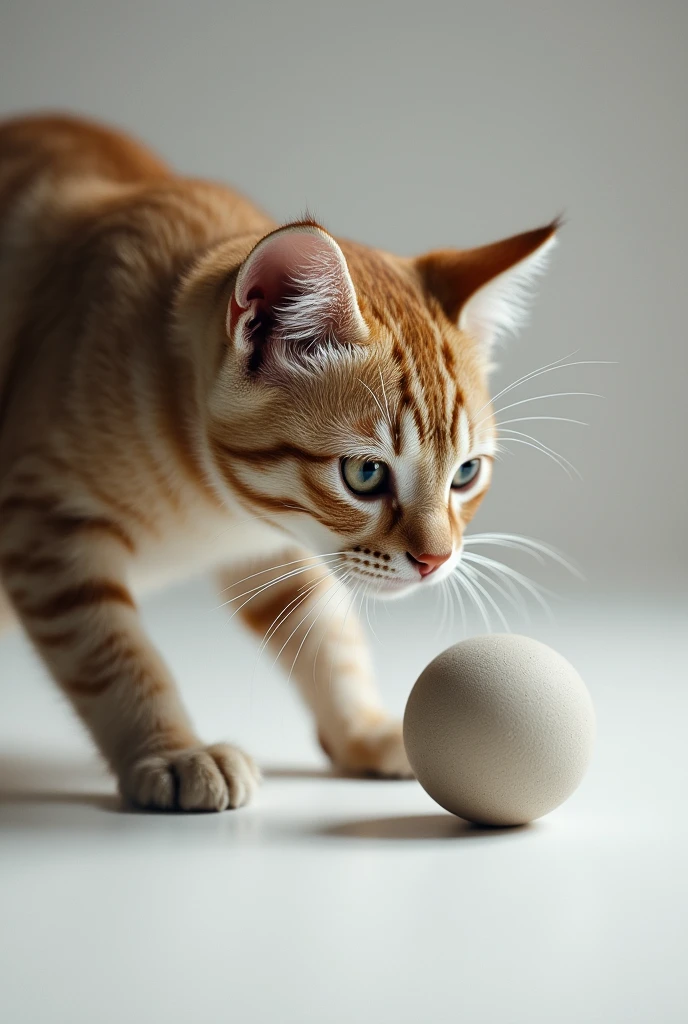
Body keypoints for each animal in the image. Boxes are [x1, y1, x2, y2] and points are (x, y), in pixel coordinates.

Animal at [0, 116, 556, 811]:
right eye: (365, 474)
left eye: (465, 474)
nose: (436, 561)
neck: (209, 508)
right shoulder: (41, 524)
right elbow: (111, 652)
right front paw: (174, 751)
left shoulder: (277, 549)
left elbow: (328, 637)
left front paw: (366, 729)